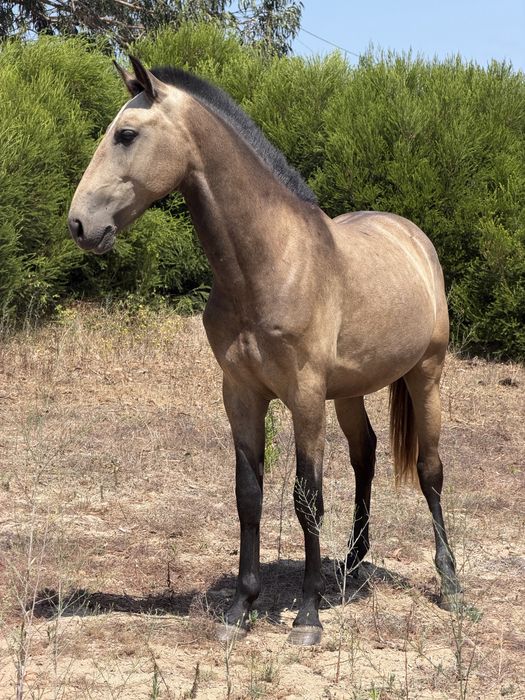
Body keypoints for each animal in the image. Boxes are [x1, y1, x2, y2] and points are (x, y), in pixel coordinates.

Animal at [68, 56, 462, 646]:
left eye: (127, 134)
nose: (79, 225)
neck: (269, 262)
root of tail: (415, 238)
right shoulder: (242, 395)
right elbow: (248, 494)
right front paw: (240, 607)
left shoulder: (304, 397)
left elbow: (306, 498)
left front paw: (307, 616)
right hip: (349, 392)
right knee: (365, 454)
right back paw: (350, 563)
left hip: (426, 375)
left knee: (430, 470)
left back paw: (450, 582)